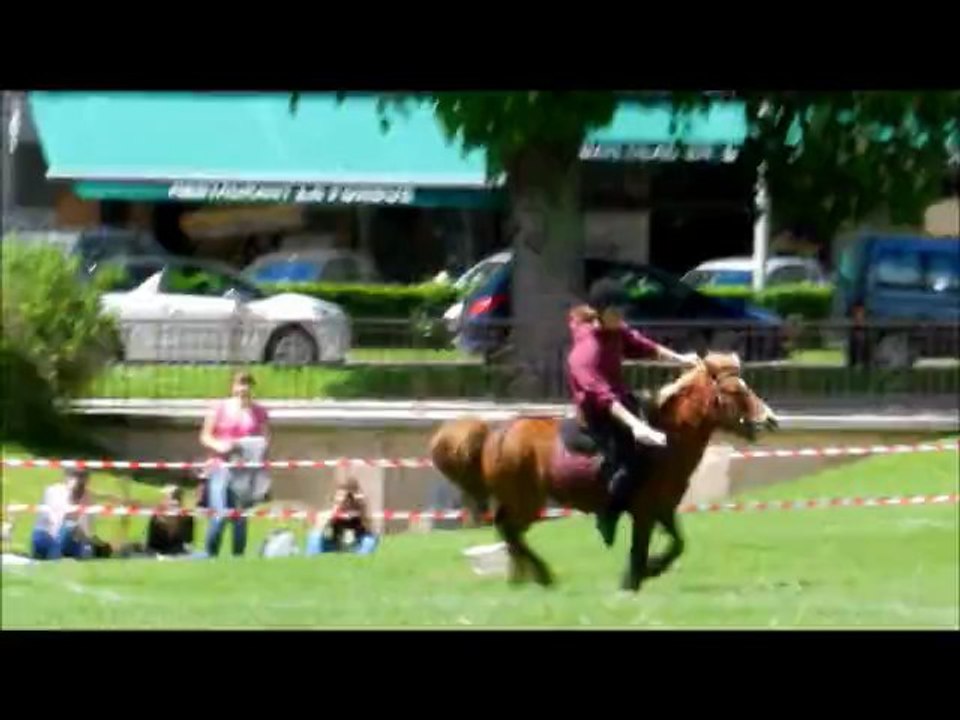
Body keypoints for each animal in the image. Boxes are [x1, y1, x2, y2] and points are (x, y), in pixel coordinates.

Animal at [430, 352, 780, 592]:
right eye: (735, 391)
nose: (770, 420)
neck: (666, 440)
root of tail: (494, 435)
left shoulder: (663, 508)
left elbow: (678, 543)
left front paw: (652, 569)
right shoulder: (644, 511)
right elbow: (640, 549)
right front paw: (634, 578)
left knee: (508, 531)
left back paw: (527, 576)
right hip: (526, 501)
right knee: (510, 530)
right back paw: (541, 574)